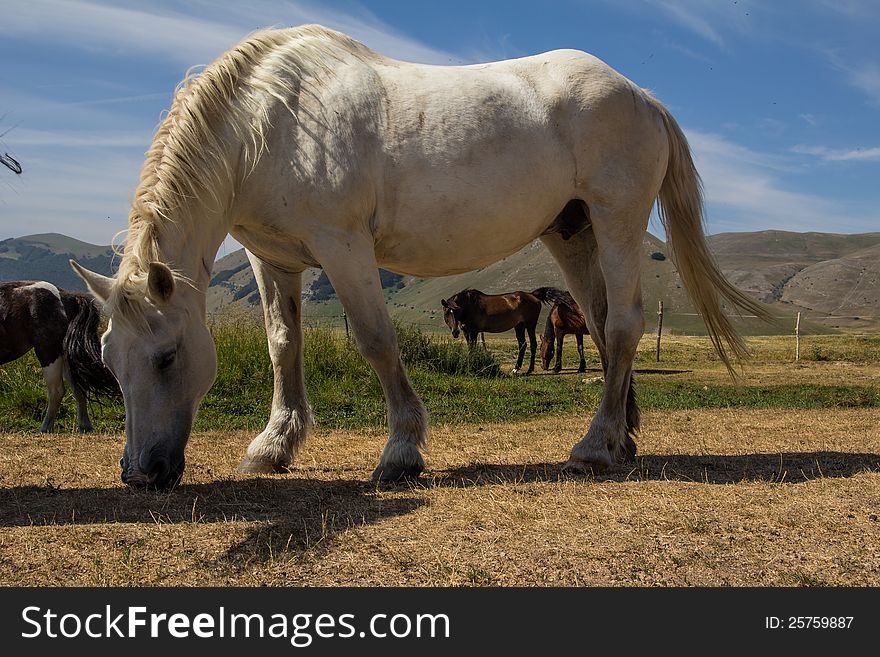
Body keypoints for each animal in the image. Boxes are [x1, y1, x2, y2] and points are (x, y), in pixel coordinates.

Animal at [0, 280, 118, 430]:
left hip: (48, 352)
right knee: (78, 387)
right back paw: (84, 426)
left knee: (56, 391)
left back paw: (46, 427)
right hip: (66, 356)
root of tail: (66, 296)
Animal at [72, 24, 768, 486]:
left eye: (166, 357)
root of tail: (642, 95)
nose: (139, 475)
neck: (273, 121)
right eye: (109, 359)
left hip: (617, 222)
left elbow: (377, 342)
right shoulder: (276, 260)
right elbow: (283, 345)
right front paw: (274, 446)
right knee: (598, 324)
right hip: (573, 233)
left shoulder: (344, 247)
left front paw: (401, 451)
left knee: (622, 326)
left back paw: (595, 445)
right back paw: (623, 436)